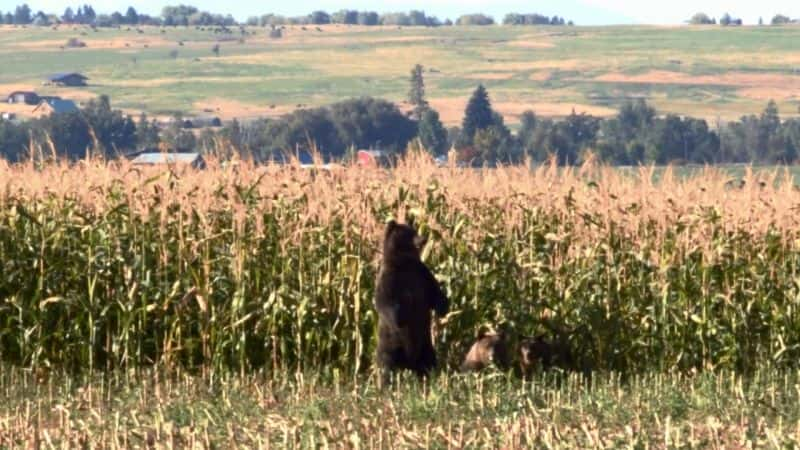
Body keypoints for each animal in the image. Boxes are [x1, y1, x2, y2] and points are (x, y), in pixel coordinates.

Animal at [376, 220, 450, 382]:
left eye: (414, 230)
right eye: (408, 233)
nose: (423, 239)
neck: (404, 262)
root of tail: (408, 364)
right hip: (391, 343)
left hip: (425, 344)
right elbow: (385, 302)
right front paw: (401, 314)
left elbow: (435, 293)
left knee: (429, 362)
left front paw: (442, 308)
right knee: (386, 365)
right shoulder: (390, 279)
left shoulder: (421, 274)